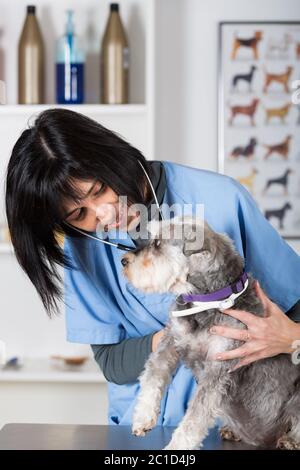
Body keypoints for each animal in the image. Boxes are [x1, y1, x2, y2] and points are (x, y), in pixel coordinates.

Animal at [120, 217, 300, 452]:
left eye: (158, 244)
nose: (123, 260)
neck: (207, 300)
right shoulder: (170, 342)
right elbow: (152, 377)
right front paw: (143, 417)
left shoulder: (218, 367)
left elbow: (194, 417)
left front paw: (176, 447)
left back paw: (290, 440)